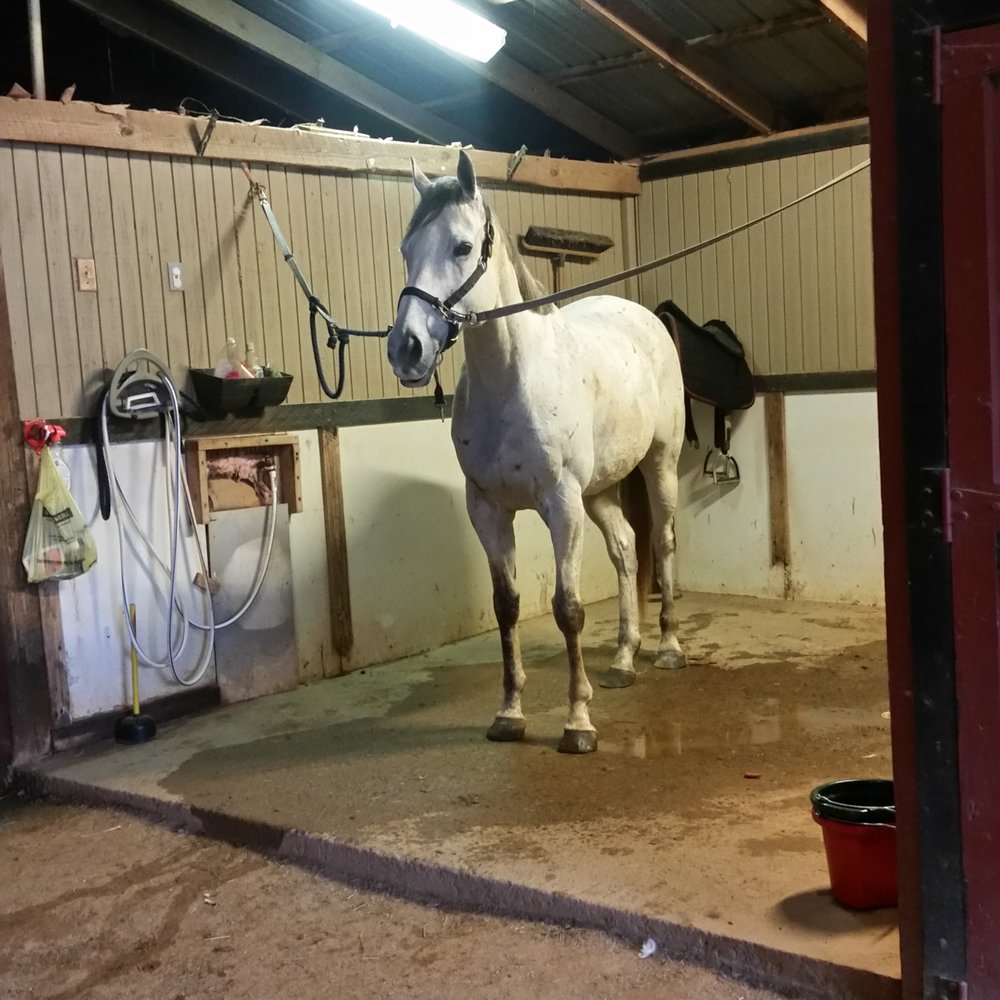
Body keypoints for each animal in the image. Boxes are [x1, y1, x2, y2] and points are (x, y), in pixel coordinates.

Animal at [386, 150, 686, 754]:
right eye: (406, 249)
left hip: (658, 467)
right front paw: (509, 715)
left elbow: (568, 609)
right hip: (599, 493)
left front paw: (578, 724)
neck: (512, 380)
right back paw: (623, 659)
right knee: (625, 549)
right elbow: (508, 607)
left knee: (661, 543)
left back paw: (666, 648)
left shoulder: (560, 505)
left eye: (461, 247)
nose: (407, 349)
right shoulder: (488, 510)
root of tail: (648, 319)